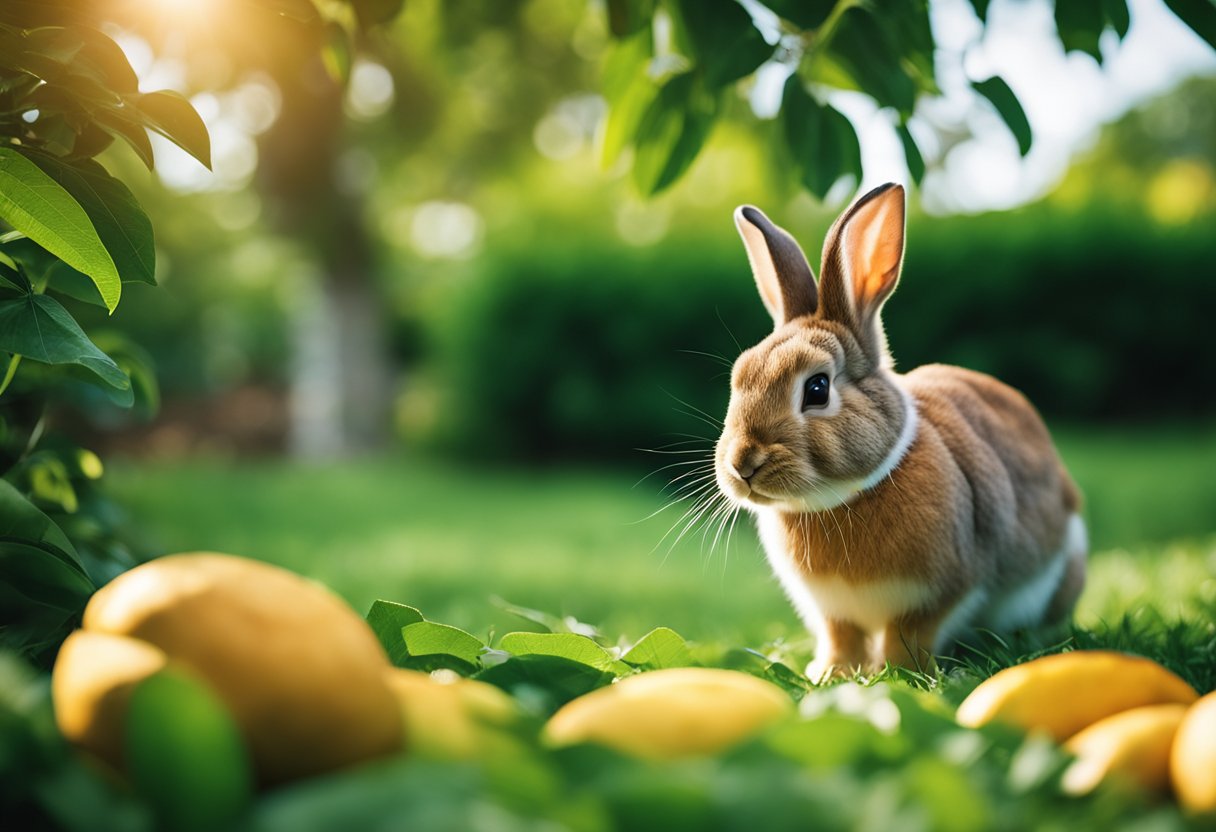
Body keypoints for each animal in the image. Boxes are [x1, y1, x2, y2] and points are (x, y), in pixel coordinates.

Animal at [715, 183, 1087, 681]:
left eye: (817, 388)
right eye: (739, 377)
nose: (742, 464)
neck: (842, 497)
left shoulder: (940, 594)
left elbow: (908, 636)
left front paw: (901, 675)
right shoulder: (833, 611)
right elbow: (841, 638)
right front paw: (830, 674)